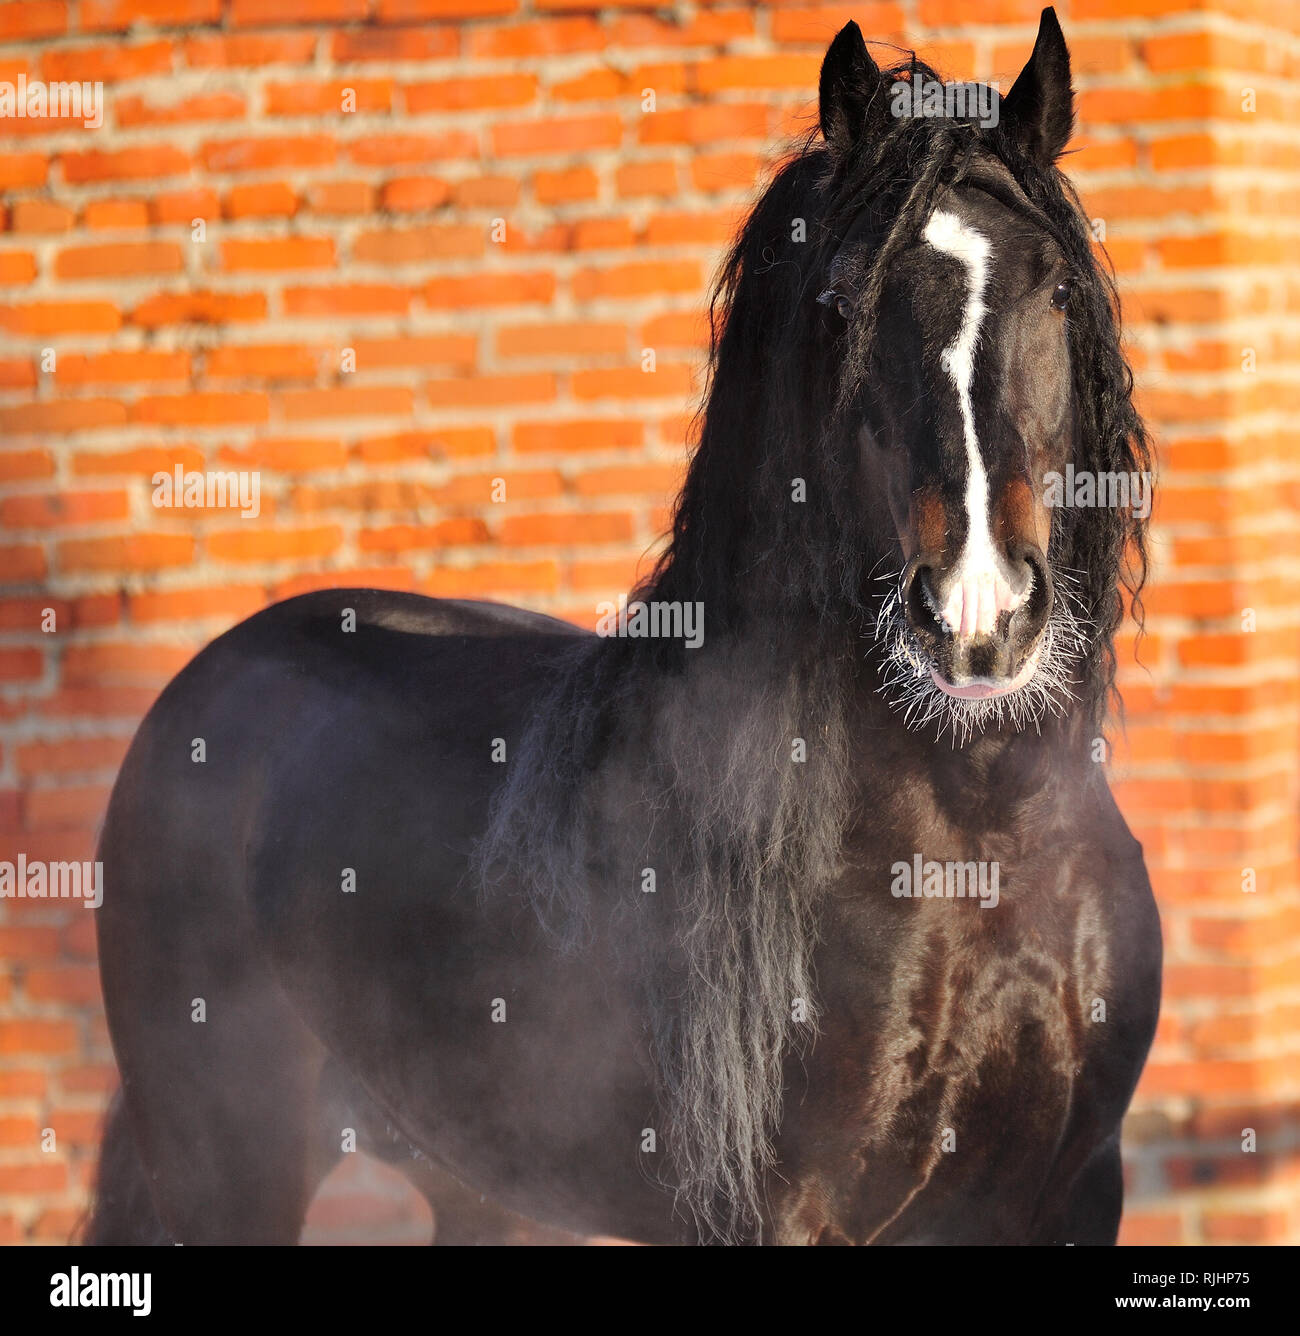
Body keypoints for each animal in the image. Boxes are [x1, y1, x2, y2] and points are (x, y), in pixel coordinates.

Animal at [88, 5, 1154, 1245]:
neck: (975, 834)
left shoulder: (1074, 1192)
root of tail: (204, 686)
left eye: (1057, 292)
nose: (978, 612)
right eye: (841, 306)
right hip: (231, 1165)